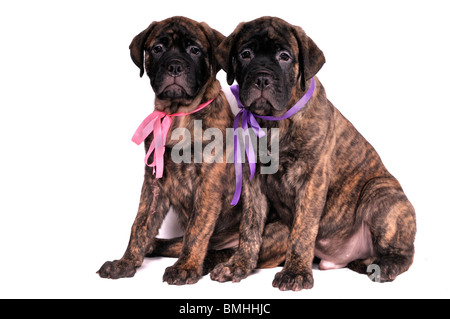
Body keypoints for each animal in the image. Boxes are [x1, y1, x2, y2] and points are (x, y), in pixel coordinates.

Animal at [97, 16, 288, 284]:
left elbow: (197, 229)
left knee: (224, 250)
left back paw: (210, 264)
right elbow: (140, 224)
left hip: (276, 231)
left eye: (195, 50)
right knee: (176, 243)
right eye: (158, 49)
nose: (175, 67)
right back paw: (154, 247)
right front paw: (125, 263)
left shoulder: (208, 182)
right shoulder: (153, 182)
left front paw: (185, 267)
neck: (179, 114)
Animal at [210, 17, 414, 292]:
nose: (262, 79)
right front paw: (238, 264)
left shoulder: (312, 180)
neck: (273, 122)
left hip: (380, 192)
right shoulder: (254, 183)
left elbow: (303, 230)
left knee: (405, 253)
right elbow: (250, 228)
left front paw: (295, 272)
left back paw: (386, 265)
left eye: (285, 56)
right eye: (245, 54)